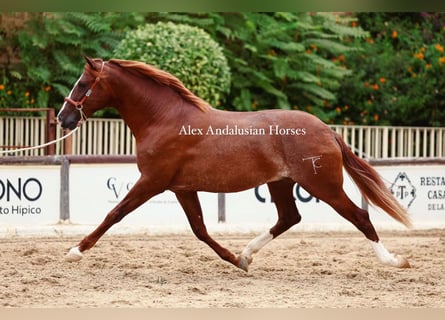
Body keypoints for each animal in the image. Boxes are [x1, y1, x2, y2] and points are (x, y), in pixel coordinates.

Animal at [57, 57, 412, 270]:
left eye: (83, 84)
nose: (63, 118)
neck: (164, 119)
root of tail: (327, 130)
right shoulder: (181, 187)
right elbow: (200, 229)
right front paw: (234, 259)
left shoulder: (152, 182)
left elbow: (114, 214)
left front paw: (76, 250)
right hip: (280, 183)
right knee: (289, 217)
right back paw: (247, 254)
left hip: (323, 185)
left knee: (360, 216)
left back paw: (393, 261)